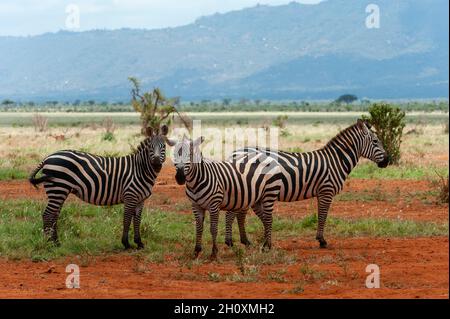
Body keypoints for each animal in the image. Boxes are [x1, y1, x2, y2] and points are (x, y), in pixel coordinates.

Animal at [28, 125, 176, 250]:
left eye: (163, 146)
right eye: (151, 147)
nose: (156, 161)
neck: (140, 169)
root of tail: (48, 157)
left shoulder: (140, 200)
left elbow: (137, 220)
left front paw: (139, 243)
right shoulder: (130, 196)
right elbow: (127, 219)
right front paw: (126, 244)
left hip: (59, 191)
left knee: (54, 214)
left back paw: (56, 242)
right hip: (58, 189)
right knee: (48, 214)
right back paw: (50, 243)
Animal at [227, 120, 388, 250]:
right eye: (375, 141)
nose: (388, 160)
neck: (336, 161)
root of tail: (234, 153)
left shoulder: (322, 192)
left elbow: (320, 214)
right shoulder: (326, 190)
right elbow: (323, 215)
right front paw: (322, 241)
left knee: (239, 213)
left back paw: (243, 241)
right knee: (234, 213)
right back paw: (232, 242)